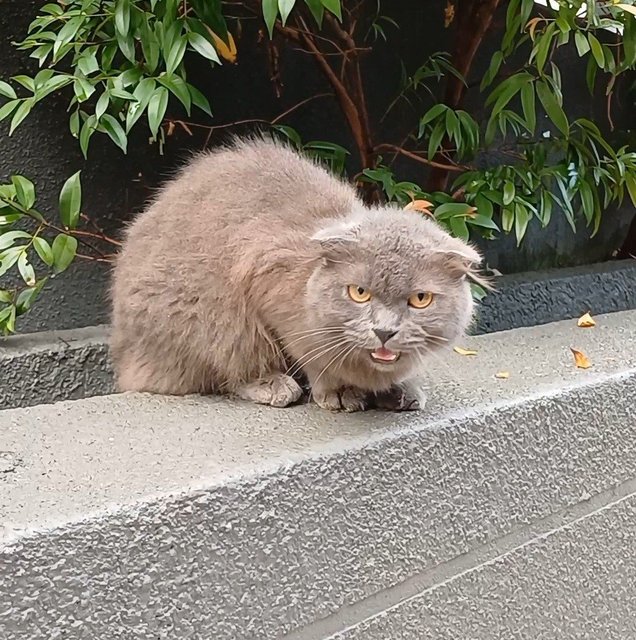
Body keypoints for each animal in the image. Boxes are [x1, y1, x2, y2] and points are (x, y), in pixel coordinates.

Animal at [109, 137, 480, 412]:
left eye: (420, 299)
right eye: (359, 293)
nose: (384, 331)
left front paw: (399, 387)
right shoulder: (265, 274)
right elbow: (312, 353)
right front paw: (339, 391)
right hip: (213, 318)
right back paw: (274, 385)